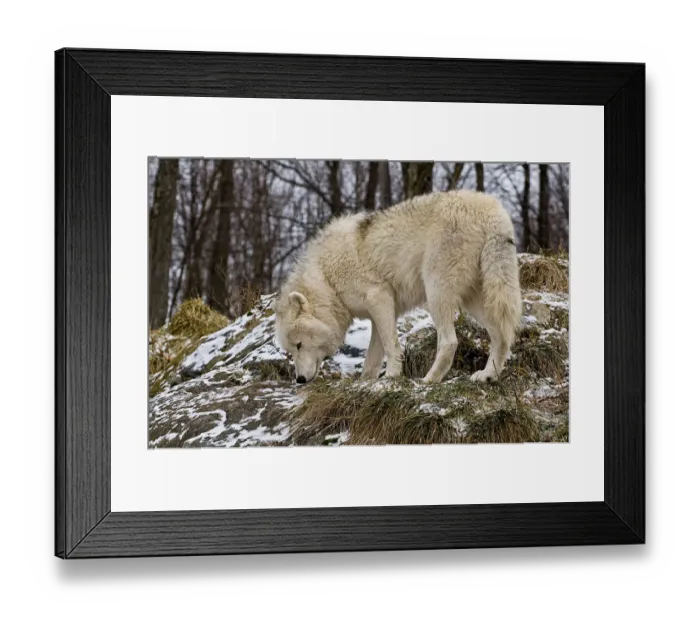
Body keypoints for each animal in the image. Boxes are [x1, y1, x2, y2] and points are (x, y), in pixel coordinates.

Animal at [275, 190, 522, 384]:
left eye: (299, 345)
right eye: (291, 349)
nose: (299, 379)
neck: (327, 279)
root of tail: (491, 209)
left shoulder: (379, 298)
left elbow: (391, 346)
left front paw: (392, 376)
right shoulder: (379, 314)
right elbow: (372, 358)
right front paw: (367, 382)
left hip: (436, 293)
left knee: (450, 341)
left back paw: (429, 379)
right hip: (476, 300)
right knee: (501, 336)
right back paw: (488, 375)